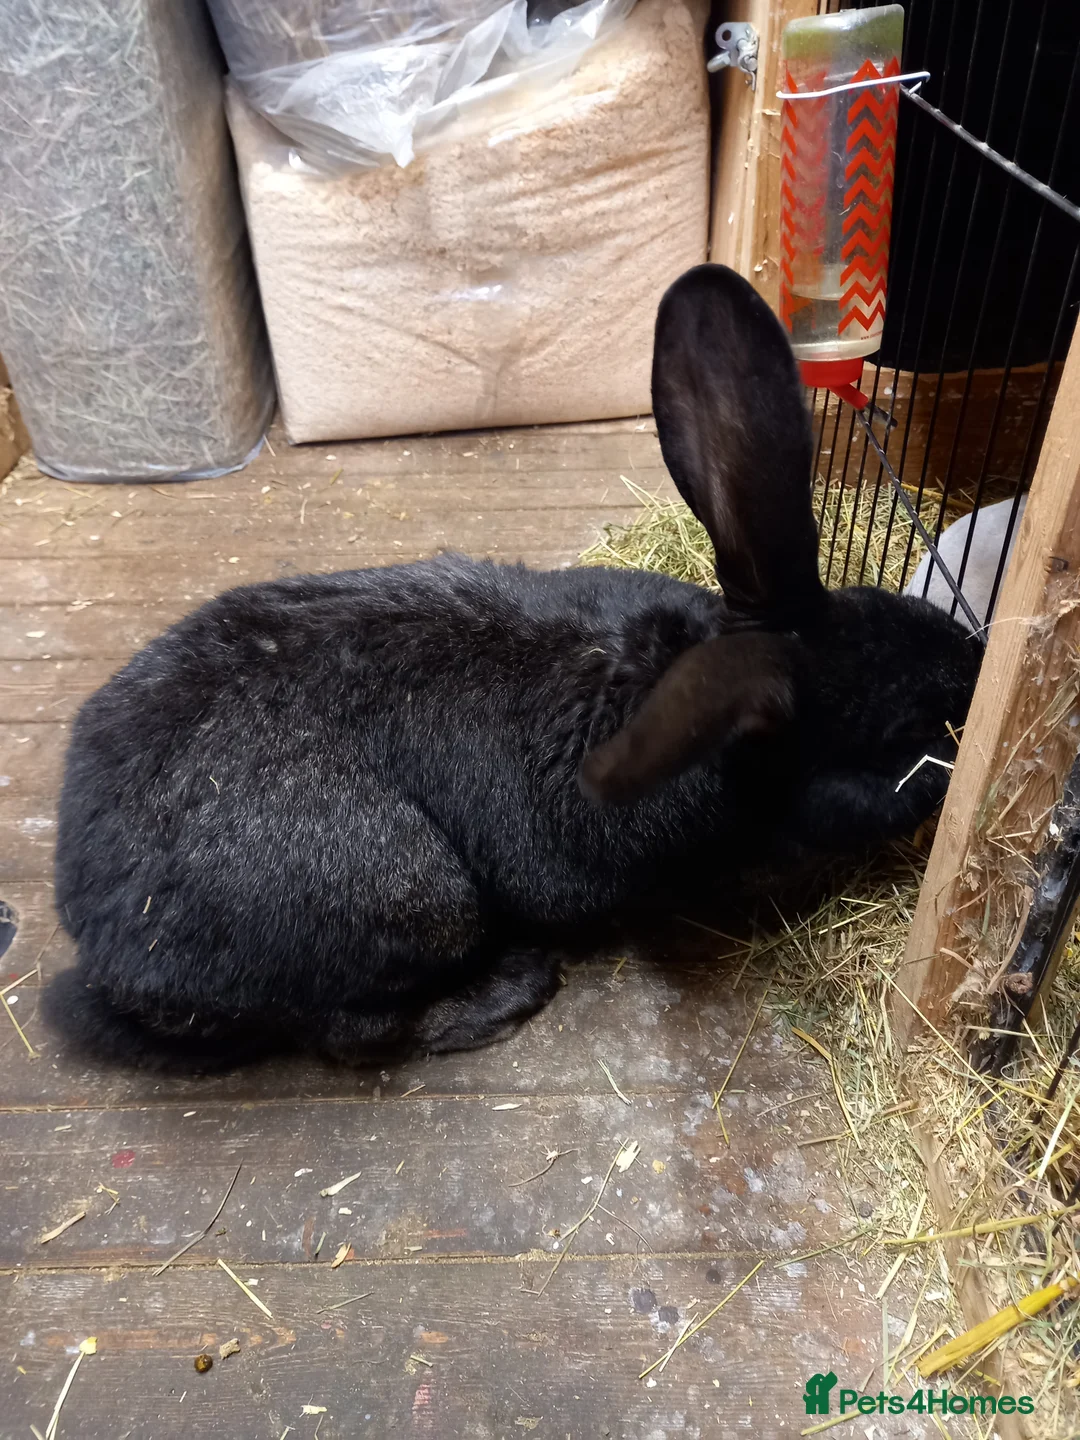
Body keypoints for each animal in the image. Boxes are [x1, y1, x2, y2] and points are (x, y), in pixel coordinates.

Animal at [45, 265, 982, 1073]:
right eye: (901, 731)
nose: (974, 671)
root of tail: (98, 933)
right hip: (417, 895)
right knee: (356, 1032)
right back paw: (512, 989)